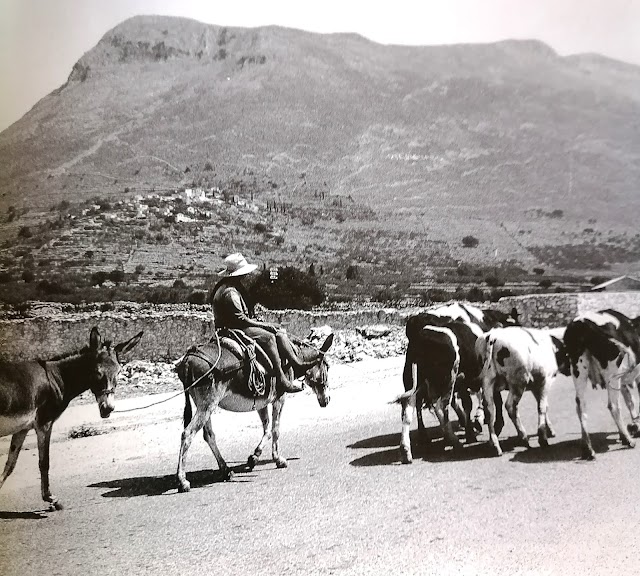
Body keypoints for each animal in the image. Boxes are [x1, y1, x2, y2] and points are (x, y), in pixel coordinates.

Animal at [476, 326, 568, 456]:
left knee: (489, 410)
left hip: (488, 382)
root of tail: (494, 335)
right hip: (518, 382)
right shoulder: (545, 381)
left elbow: (543, 405)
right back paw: (523, 437)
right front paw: (542, 438)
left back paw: (494, 444)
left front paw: (549, 429)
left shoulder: (535, 385)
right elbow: (542, 407)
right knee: (511, 406)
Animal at [564, 308, 640, 462]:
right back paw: (629, 440)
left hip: (579, 370)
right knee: (613, 406)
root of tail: (582, 322)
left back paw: (588, 449)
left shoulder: (622, 381)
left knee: (581, 406)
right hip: (612, 373)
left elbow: (630, 401)